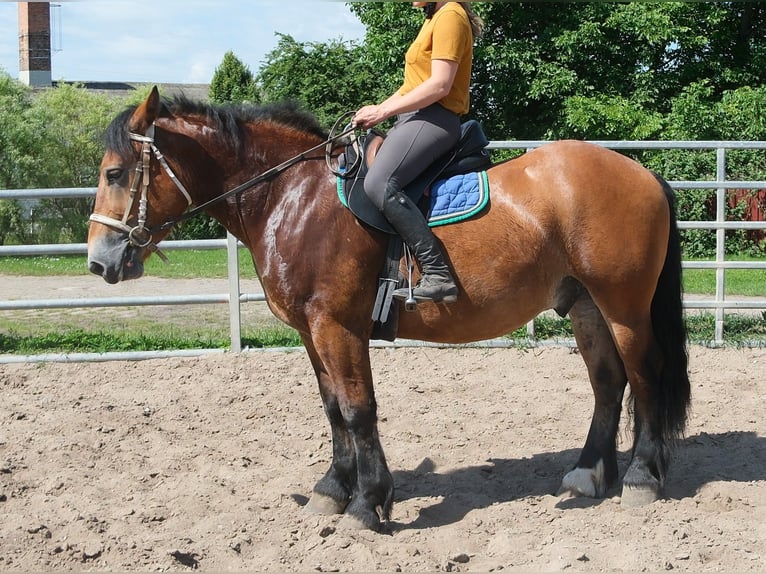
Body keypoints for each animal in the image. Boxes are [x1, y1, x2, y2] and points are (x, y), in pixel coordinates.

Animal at [87, 87, 690, 532]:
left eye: (116, 174)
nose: (99, 260)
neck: (293, 197)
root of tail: (643, 174)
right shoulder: (311, 331)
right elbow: (333, 409)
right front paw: (332, 490)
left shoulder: (338, 327)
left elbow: (359, 410)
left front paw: (367, 503)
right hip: (586, 305)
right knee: (609, 382)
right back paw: (588, 474)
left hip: (624, 306)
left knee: (646, 376)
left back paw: (641, 478)